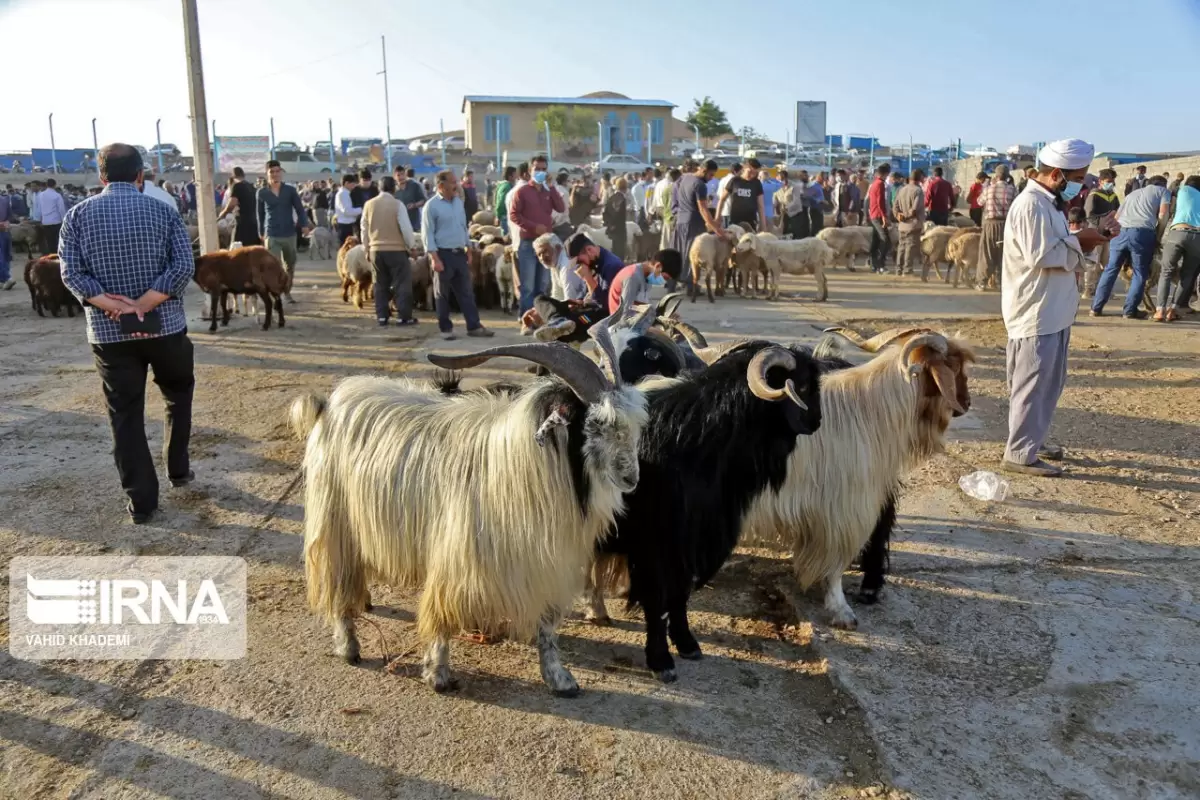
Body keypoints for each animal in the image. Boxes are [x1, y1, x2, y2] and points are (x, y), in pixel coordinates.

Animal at [290, 328, 648, 695]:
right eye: (596, 424)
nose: (631, 479)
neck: (524, 463)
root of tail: (330, 403)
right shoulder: (458, 553)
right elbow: (442, 611)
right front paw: (438, 674)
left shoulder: (545, 563)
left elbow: (547, 624)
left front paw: (559, 679)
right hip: (335, 521)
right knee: (337, 580)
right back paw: (348, 646)